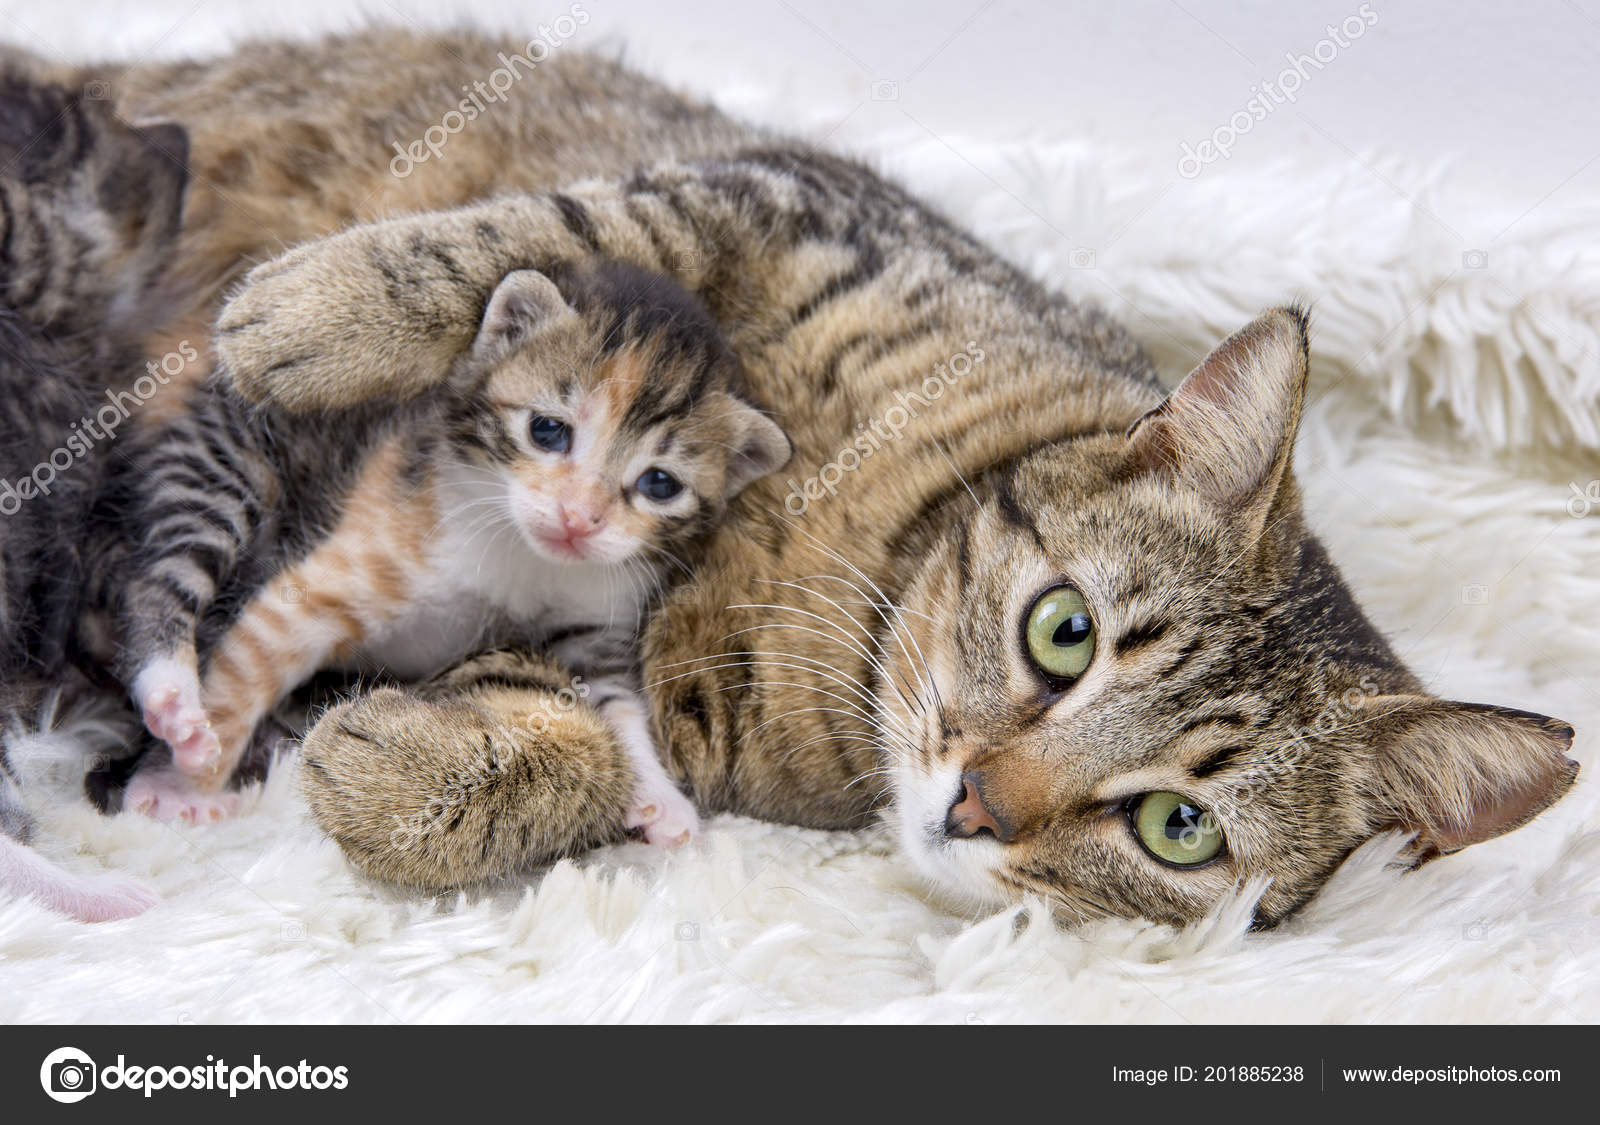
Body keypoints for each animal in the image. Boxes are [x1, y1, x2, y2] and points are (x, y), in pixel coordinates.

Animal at [112, 257, 787, 844]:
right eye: (548, 429)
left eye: (659, 484)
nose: (579, 519)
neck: (523, 557)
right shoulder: (335, 578)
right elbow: (245, 671)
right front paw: (188, 781)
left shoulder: (596, 622)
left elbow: (620, 706)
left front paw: (662, 799)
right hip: (223, 465)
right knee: (158, 577)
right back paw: (171, 692)